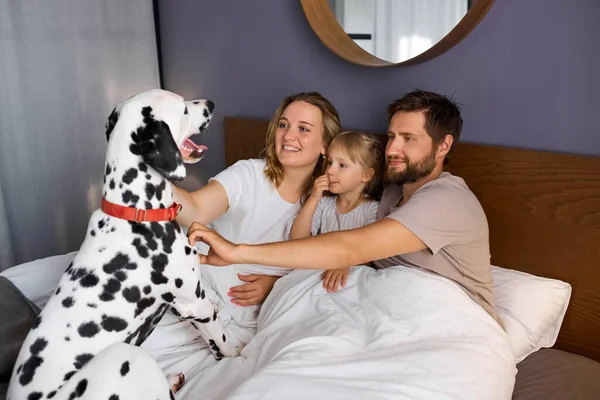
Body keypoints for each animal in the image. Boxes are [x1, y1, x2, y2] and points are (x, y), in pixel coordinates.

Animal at [7, 88, 239, 400]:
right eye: (183, 108)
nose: (210, 104)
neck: (137, 212)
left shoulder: (183, 306)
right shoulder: (195, 304)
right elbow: (222, 339)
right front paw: (239, 353)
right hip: (125, 355)